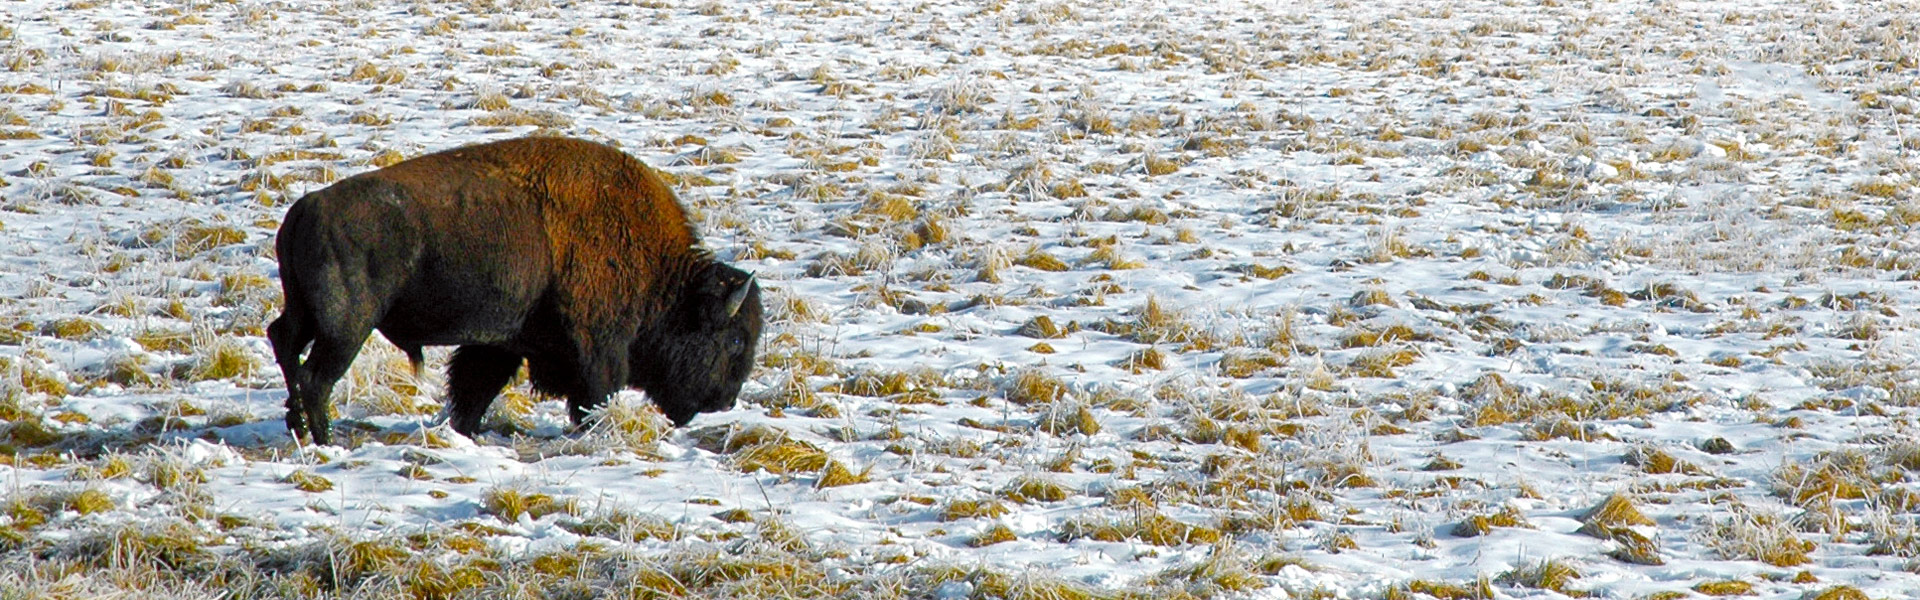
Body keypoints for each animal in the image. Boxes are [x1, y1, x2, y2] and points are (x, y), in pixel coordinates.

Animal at [270, 135, 764, 446]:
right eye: (736, 340)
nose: (725, 401)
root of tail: (304, 209)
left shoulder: (498, 345)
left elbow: (473, 389)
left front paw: (465, 431)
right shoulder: (598, 346)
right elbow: (595, 394)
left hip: (305, 314)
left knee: (285, 345)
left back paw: (297, 426)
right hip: (346, 327)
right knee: (316, 377)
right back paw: (325, 440)